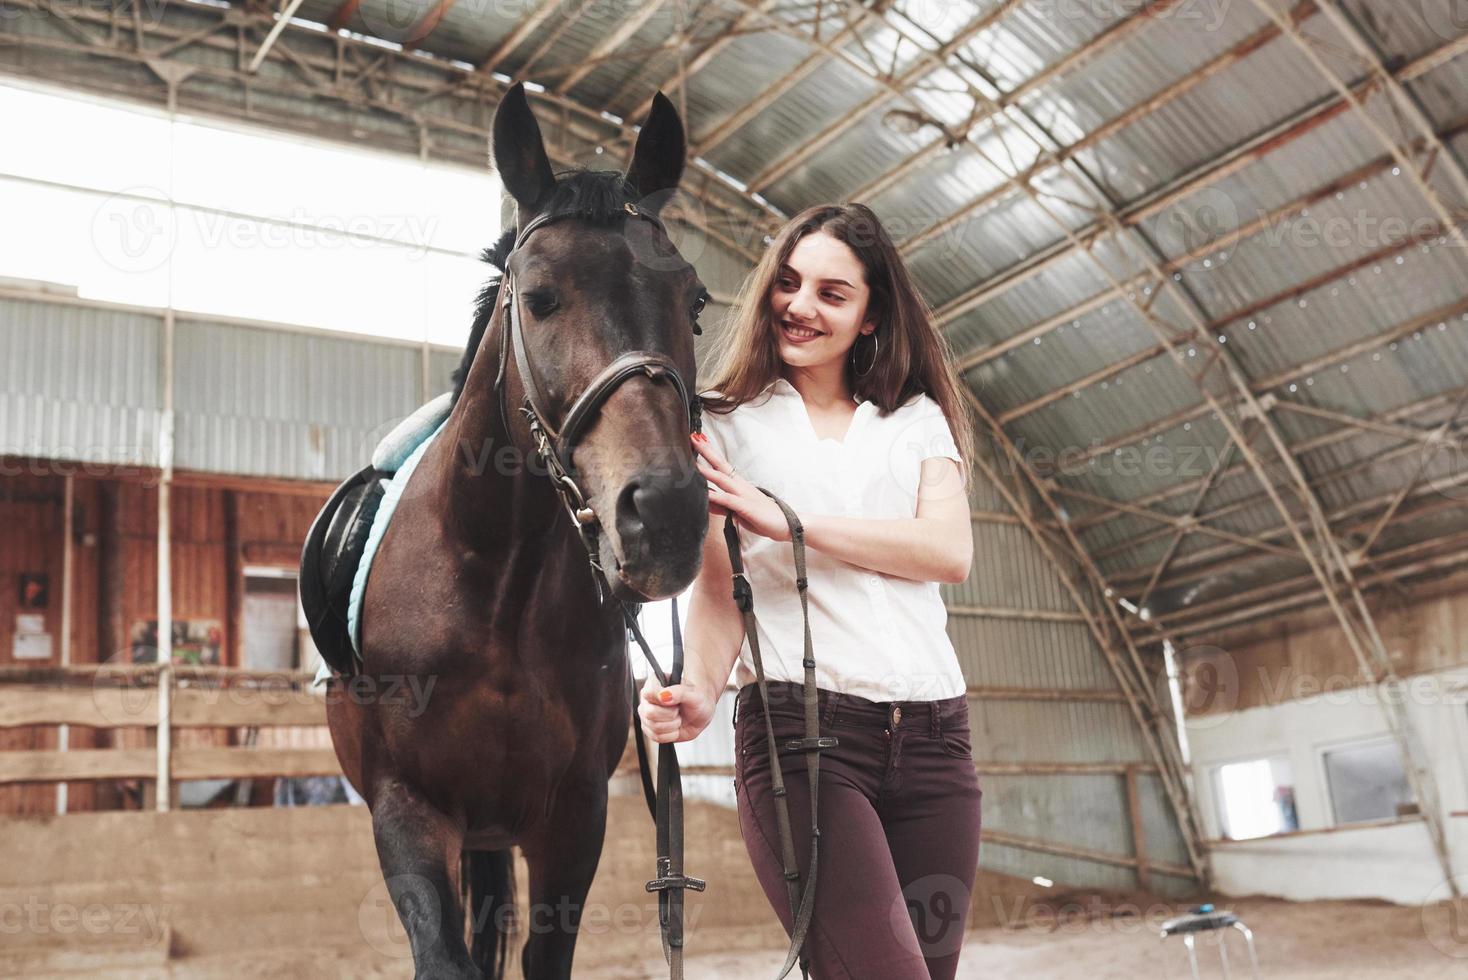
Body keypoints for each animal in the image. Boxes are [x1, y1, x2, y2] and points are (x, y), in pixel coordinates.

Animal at [325, 86, 710, 979]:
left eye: (697, 303)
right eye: (538, 297)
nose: (666, 514)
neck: (496, 583)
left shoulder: (573, 819)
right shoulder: (405, 810)